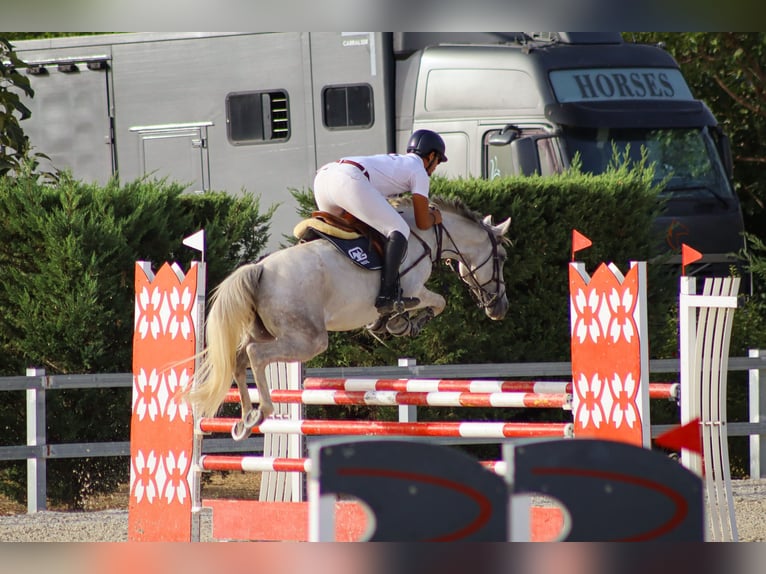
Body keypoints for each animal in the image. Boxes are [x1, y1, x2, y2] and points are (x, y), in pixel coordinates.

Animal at [186, 196, 512, 440]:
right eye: (502, 259)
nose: (500, 308)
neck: (427, 233)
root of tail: (260, 268)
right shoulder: (414, 289)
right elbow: (438, 302)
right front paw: (404, 323)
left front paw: (387, 324)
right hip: (308, 339)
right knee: (255, 354)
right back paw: (261, 411)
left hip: (268, 331)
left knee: (239, 357)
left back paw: (244, 419)